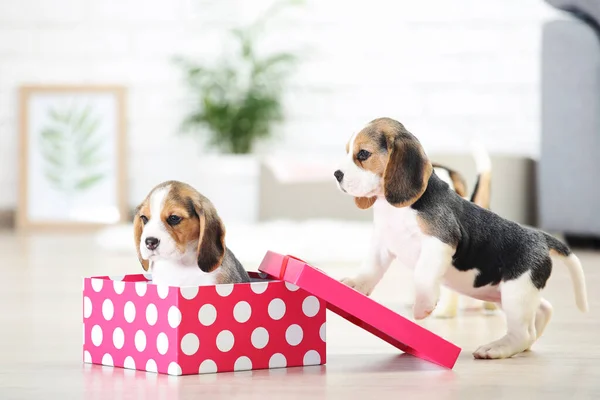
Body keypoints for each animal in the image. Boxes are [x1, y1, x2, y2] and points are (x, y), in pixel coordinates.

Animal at [336, 117, 588, 358]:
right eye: (348, 151)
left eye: (363, 154)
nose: (337, 174)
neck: (396, 209)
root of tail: (541, 238)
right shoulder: (383, 245)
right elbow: (370, 269)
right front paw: (355, 284)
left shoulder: (439, 243)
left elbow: (423, 275)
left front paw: (423, 305)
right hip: (509, 293)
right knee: (543, 310)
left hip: (516, 293)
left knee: (522, 333)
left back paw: (497, 348)